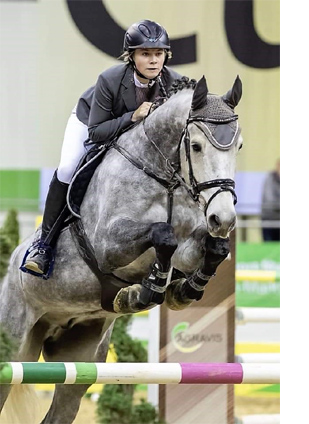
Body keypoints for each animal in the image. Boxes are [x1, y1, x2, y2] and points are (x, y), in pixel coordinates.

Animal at [0, 74, 241, 422]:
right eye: (196, 146)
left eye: (239, 146)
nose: (223, 219)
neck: (164, 178)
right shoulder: (109, 244)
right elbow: (162, 234)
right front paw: (150, 287)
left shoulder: (190, 246)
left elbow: (214, 249)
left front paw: (183, 289)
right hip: (16, 342)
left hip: (81, 355)